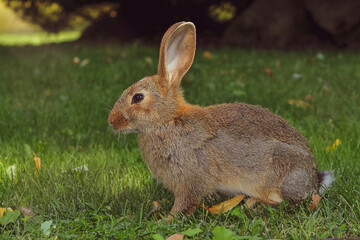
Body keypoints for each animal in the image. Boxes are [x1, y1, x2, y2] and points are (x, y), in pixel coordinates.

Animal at [107, 21, 334, 216]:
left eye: (138, 97)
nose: (111, 121)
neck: (168, 120)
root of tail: (313, 179)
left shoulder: (191, 177)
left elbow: (185, 202)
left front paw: (167, 219)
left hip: (279, 172)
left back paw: (253, 203)